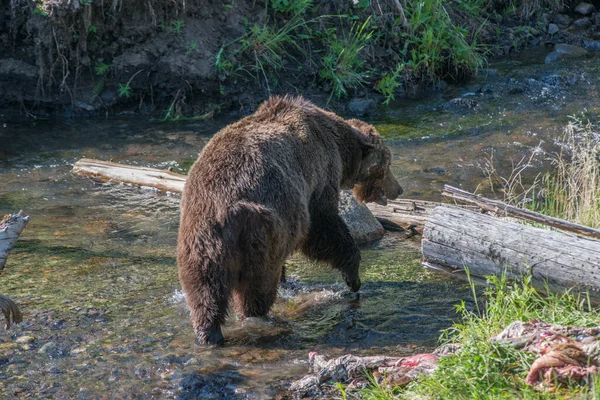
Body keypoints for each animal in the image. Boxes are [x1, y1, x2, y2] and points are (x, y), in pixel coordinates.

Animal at [178, 95, 404, 346]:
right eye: (388, 163)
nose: (399, 188)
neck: (342, 148)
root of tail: (225, 207)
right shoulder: (318, 177)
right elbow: (325, 228)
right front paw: (353, 277)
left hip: (201, 239)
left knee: (204, 290)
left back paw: (209, 333)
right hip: (260, 230)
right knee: (257, 287)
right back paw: (258, 317)